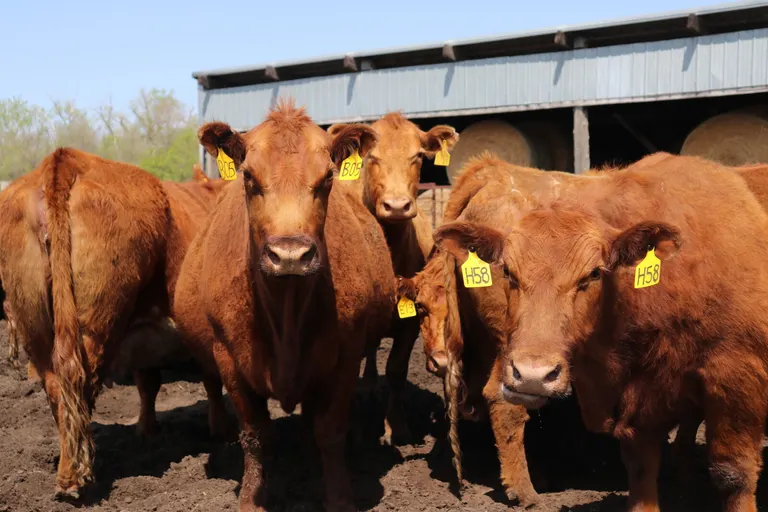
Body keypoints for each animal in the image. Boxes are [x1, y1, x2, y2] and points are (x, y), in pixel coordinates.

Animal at [0, 151, 228, 499]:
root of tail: (65, 160)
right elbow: (212, 382)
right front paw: (219, 431)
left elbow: (148, 384)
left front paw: (146, 432)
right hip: (97, 328)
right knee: (80, 383)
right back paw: (76, 478)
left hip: (35, 327)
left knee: (56, 387)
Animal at [172, 101, 395, 512]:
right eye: (248, 177)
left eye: (327, 179)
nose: (289, 254)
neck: (286, 316)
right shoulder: (230, 359)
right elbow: (255, 435)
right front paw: (252, 499)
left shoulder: (346, 355)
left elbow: (330, 430)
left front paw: (340, 498)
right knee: (210, 385)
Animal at [328, 112, 458, 445]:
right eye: (372, 157)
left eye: (417, 156)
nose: (397, 205)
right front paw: (354, 427)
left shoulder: (411, 323)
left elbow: (397, 370)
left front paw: (396, 428)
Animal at [435, 154, 768, 512]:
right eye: (508, 271)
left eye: (594, 273)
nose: (534, 374)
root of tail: (492, 170)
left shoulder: (732, 379)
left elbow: (729, 473)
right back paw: (526, 491)